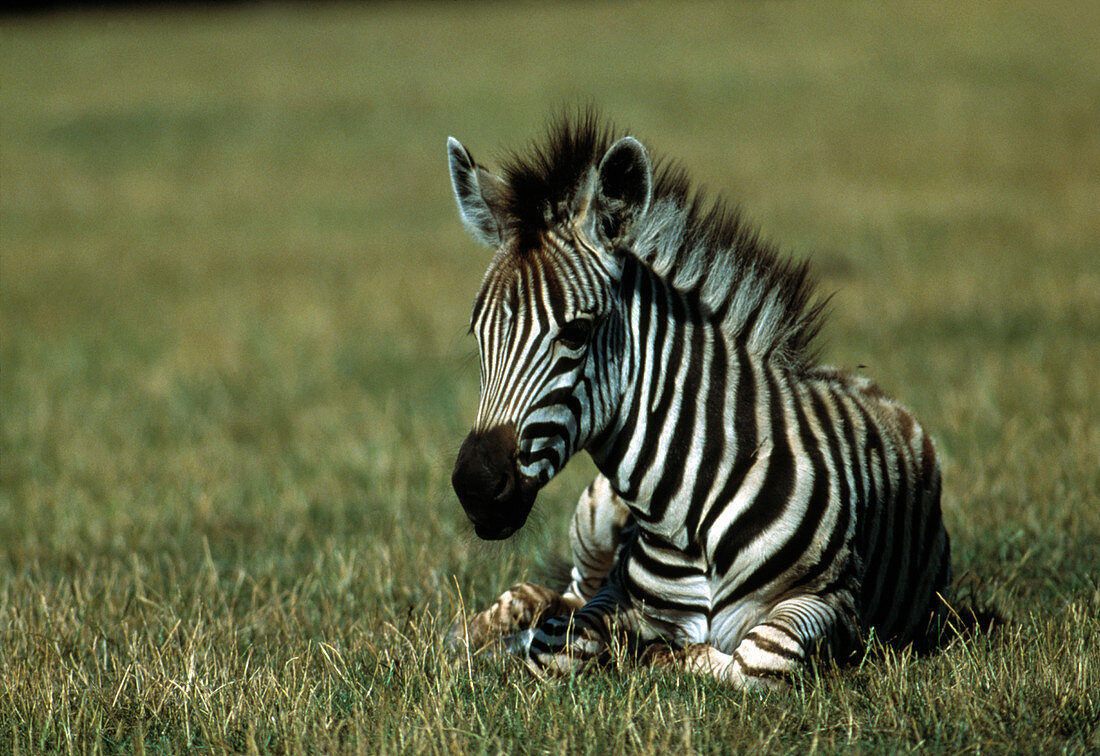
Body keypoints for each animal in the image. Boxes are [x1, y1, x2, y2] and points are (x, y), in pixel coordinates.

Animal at [442, 109, 950, 691]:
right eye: (478, 336)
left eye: (575, 333)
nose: (475, 487)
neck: (686, 512)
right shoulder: (616, 590)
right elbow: (559, 642)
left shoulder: (832, 600)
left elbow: (760, 657)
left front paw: (660, 656)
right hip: (592, 520)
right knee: (553, 593)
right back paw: (473, 635)